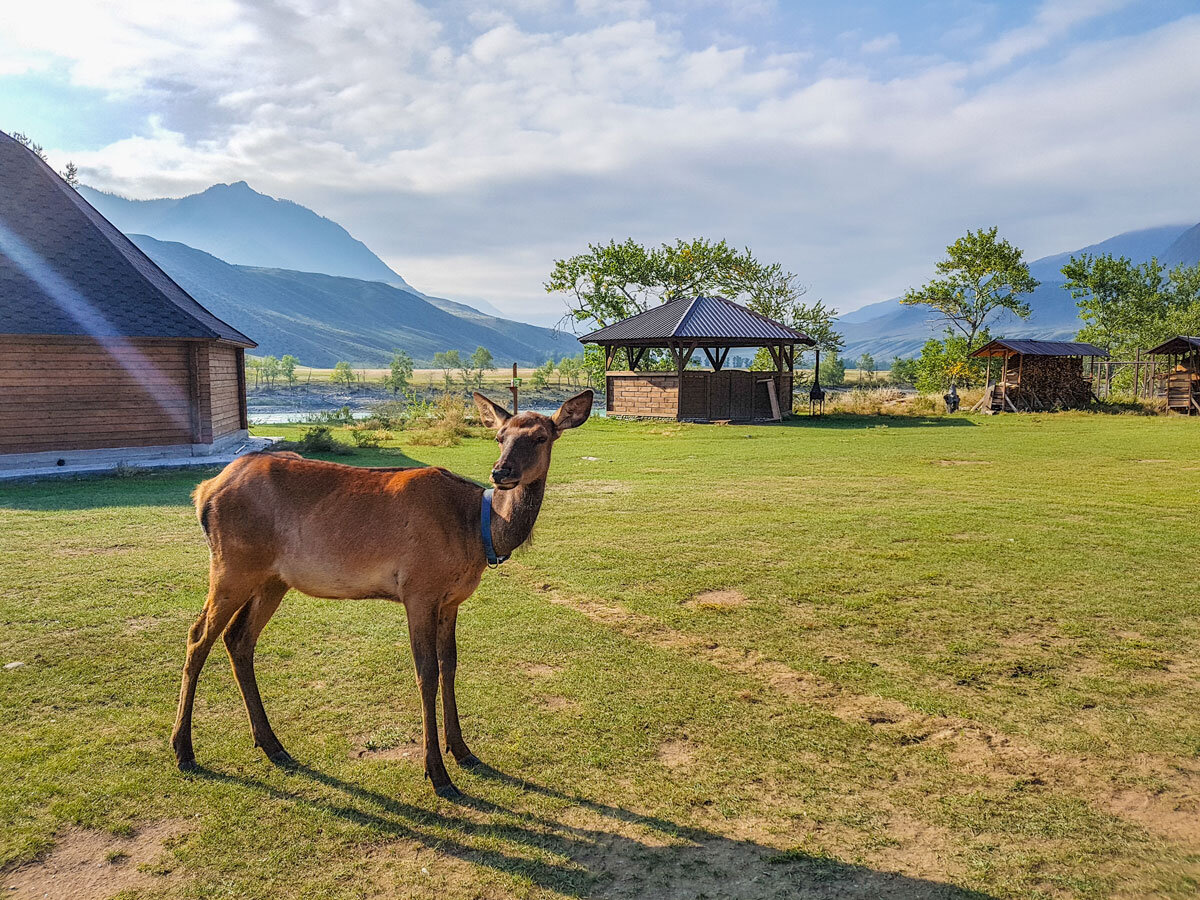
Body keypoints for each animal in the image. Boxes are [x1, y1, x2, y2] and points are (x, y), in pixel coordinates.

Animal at [171, 391, 592, 801]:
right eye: (500, 437)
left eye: (541, 437)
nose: (501, 472)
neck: (479, 532)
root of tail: (203, 492)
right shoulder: (419, 590)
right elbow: (427, 673)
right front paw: (437, 774)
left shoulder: (451, 600)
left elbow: (451, 666)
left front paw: (463, 751)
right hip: (231, 567)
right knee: (198, 637)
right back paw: (183, 749)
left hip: (272, 579)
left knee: (238, 639)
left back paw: (272, 744)